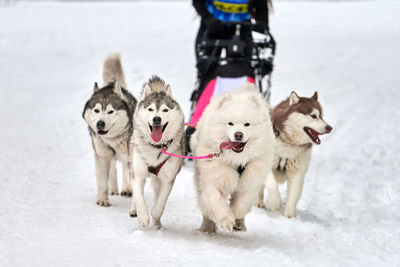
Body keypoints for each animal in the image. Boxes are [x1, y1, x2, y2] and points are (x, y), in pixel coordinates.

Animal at [82, 53, 137, 206]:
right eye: (96, 110)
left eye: (111, 111)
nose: (100, 123)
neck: (113, 139)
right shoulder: (102, 156)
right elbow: (102, 182)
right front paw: (102, 200)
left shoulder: (131, 156)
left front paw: (129, 190)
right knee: (113, 168)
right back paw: (113, 189)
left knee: (124, 168)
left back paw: (126, 189)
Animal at [129, 76, 185, 229]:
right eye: (150, 109)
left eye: (165, 110)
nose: (157, 119)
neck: (155, 147)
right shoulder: (137, 173)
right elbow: (139, 196)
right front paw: (143, 216)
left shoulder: (168, 179)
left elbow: (160, 204)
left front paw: (155, 218)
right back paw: (134, 210)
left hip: (157, 180)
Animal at [191, 84, 276, 234]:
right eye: (230, 124)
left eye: (247, 124)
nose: (238, 134)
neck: (237, 159)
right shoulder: (214, 176)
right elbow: (216, 201)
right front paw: (226, 221)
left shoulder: (251, 179)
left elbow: (242, 202)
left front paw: (235, 215)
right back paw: (207, 227)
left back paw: (240, 225)